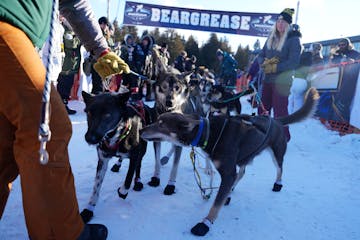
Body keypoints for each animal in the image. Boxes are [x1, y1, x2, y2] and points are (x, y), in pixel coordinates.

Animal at [81, 90, 155, 223]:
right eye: (89, 112)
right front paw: (89, 209)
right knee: (122, 158)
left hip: (143, 149)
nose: (89, 138)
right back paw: (117, 165)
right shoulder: (103, 159)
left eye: (107, 115)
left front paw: (122, 192)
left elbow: (128, 180)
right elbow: (96, 188)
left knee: (139, 165)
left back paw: (138, 181)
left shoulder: (135, 155)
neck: (114, 136)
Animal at [142, 88, 320, 236]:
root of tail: (276, 120)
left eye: (161, 124)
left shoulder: (227, 173)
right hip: (244, 157)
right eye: (157, 120)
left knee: (279, 169)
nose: (141, 129)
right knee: (242, 172)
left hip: (276, 153)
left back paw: (278, 184)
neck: (208, 133)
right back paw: (231, 191)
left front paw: (205, 223)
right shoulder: (228, 169)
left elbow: (216, 204)